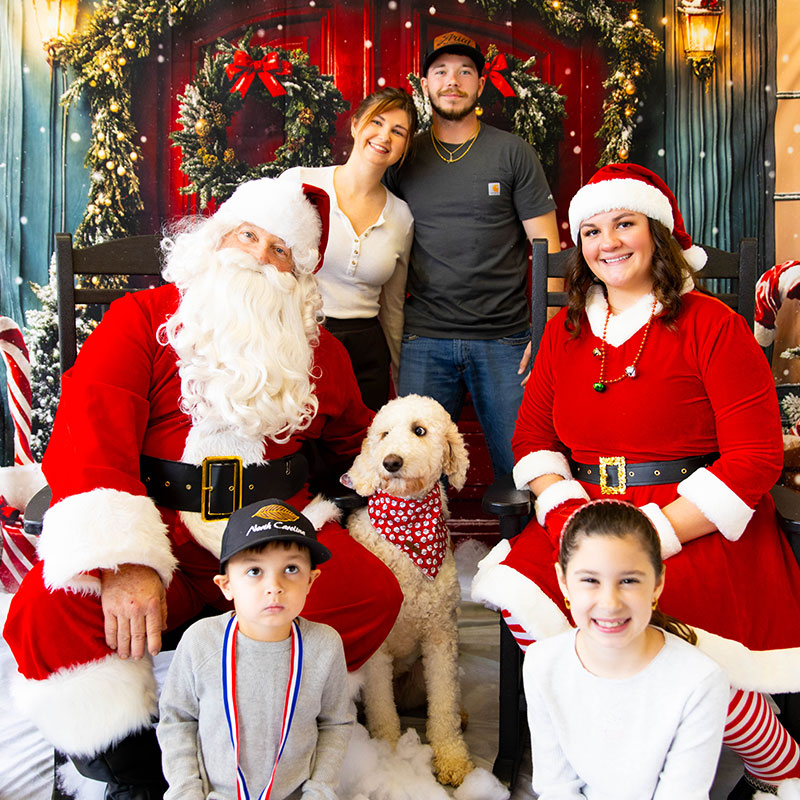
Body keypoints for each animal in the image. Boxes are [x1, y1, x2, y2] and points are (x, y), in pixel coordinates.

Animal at [342, 394, 474, 786]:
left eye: (420, 430)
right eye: (383, 434)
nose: (391, 462)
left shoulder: (441, 638)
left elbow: (443, 705)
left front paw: (452, 759)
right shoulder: (377, 648)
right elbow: (382, 708)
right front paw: (386, 752)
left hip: (418, 677)